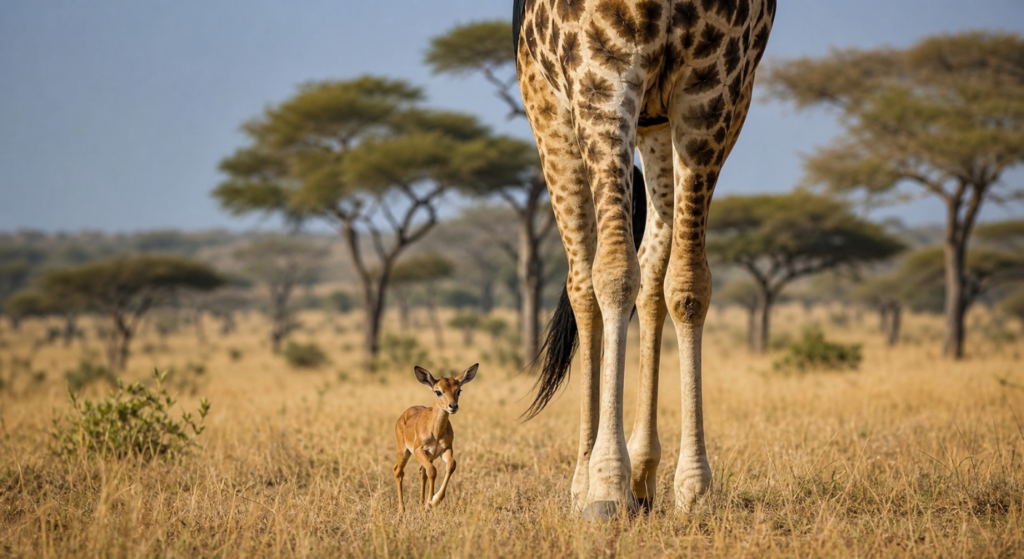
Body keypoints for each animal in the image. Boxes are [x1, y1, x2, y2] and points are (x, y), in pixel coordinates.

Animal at [393, 363, 478, 513]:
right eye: (438, 391)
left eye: (459, 390)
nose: (453, 406)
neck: (436, 432)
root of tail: (403, 416)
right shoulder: (419, 450)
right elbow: (433, 471)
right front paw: (431, 502)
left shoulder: (445, 450)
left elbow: (451, 465)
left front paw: (433, 501)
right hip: (404, 451)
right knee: (398, 471)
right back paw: (402, 510)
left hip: (428, 457)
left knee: (421, 472)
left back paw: (421, 505)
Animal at [515, 0, 776, 519]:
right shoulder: (600, 71)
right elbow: (614, 273)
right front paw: (605, 486)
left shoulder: (716, 85)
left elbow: (688, 286)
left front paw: (695, 488)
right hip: (549, 106)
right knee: (584, 283)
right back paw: (586, 482)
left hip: (657, 126)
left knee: (651, 279)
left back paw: (641, 476)